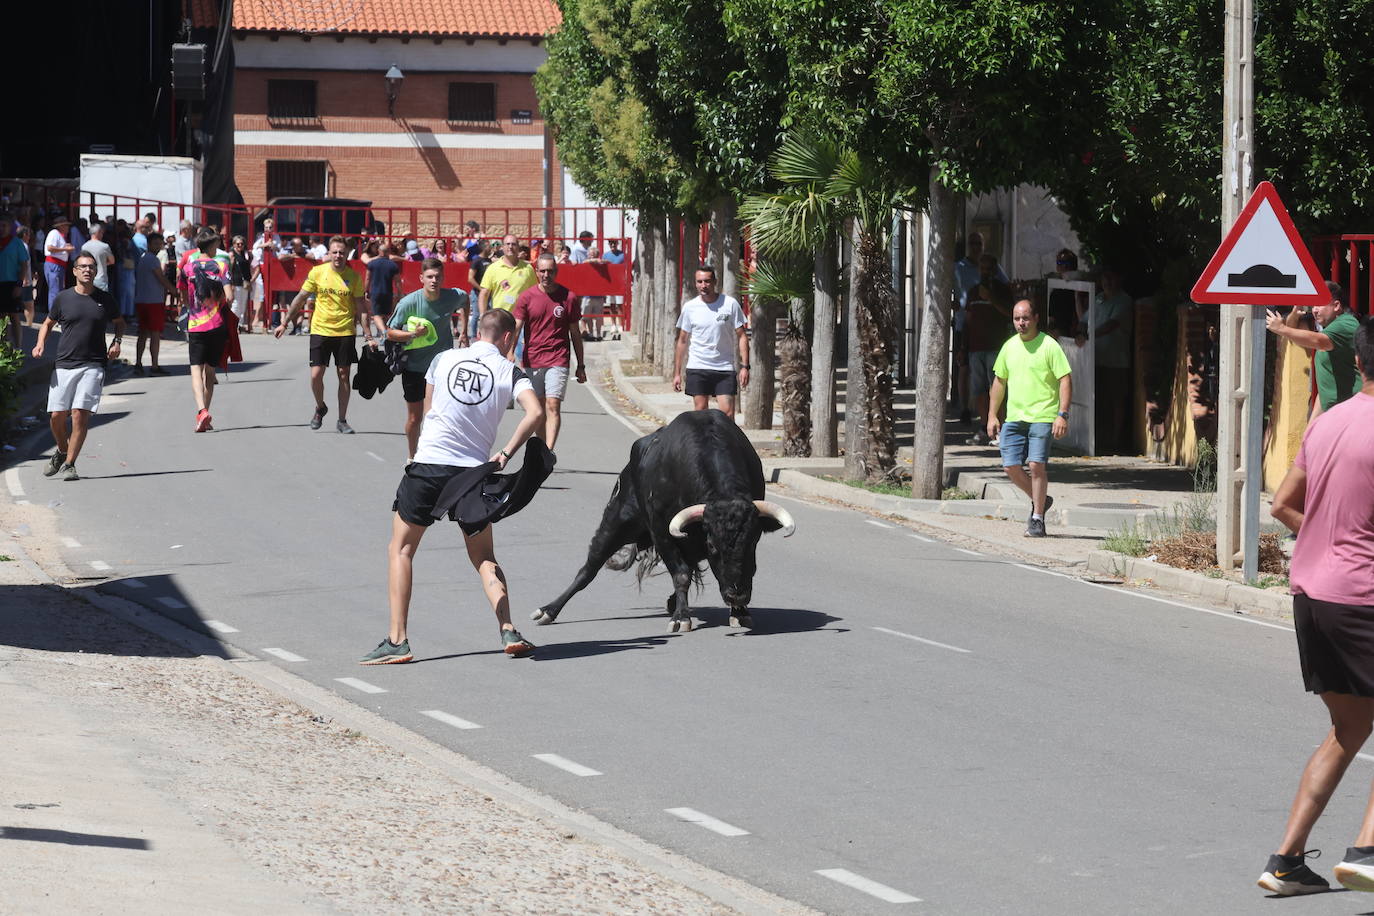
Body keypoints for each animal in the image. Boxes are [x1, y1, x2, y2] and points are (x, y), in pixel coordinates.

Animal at [533, 411, 802, 634]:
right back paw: (548, 610)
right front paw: (681, 618)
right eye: (713, 545)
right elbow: (680, 575)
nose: (737, 596)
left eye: (753, 542)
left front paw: (740, 613)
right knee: (589, 568)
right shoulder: (662, 532)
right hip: (616, 521)